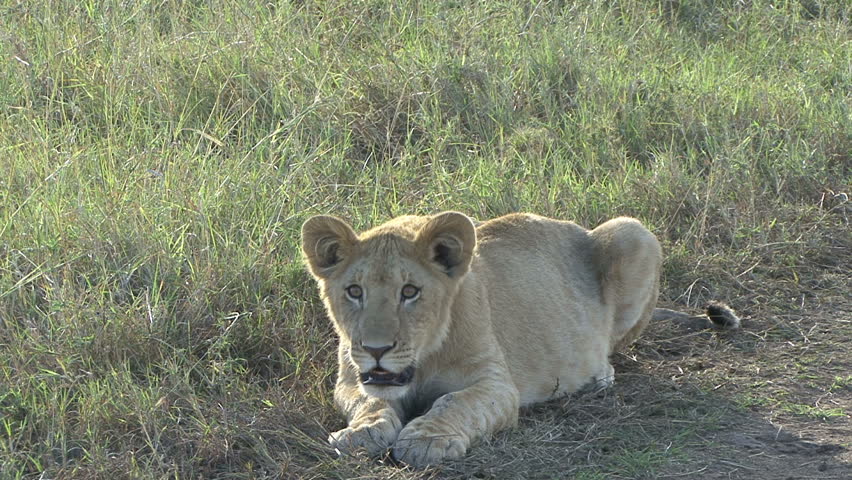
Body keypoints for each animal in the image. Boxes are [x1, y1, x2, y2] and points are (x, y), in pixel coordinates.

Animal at [301, 212, 739, 467]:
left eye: (410, 292)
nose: (376, 350)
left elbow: (454, 403)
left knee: (616, 349)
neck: (422, 360)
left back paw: (598, 376)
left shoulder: (497, 384)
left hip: (632, 232)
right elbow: (369, 401)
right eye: (354, 291)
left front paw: (428, 439)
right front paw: (362, 432)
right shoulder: (350, 379)